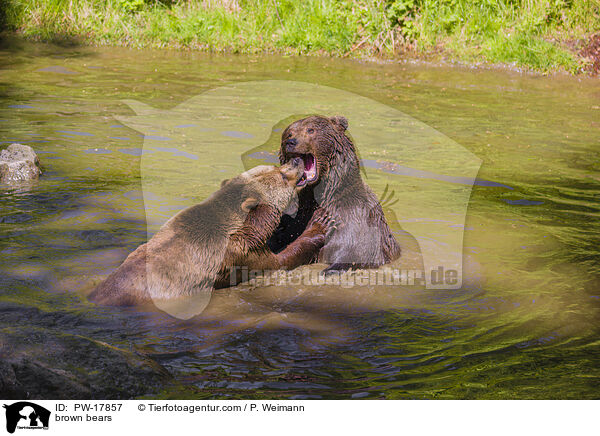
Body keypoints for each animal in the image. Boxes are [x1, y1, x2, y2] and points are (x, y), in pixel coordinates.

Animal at [88, 158, 332, 306]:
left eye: (274, 165)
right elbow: (279, 260)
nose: (296, 160)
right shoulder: (240, 254)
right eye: (281, 174)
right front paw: (319, 224)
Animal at [270, 115, 400, 272]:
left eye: (310, 130)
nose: (291, 142)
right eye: (289, 133)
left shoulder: (355, 220)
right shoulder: (294, 218)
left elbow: (353, 252)